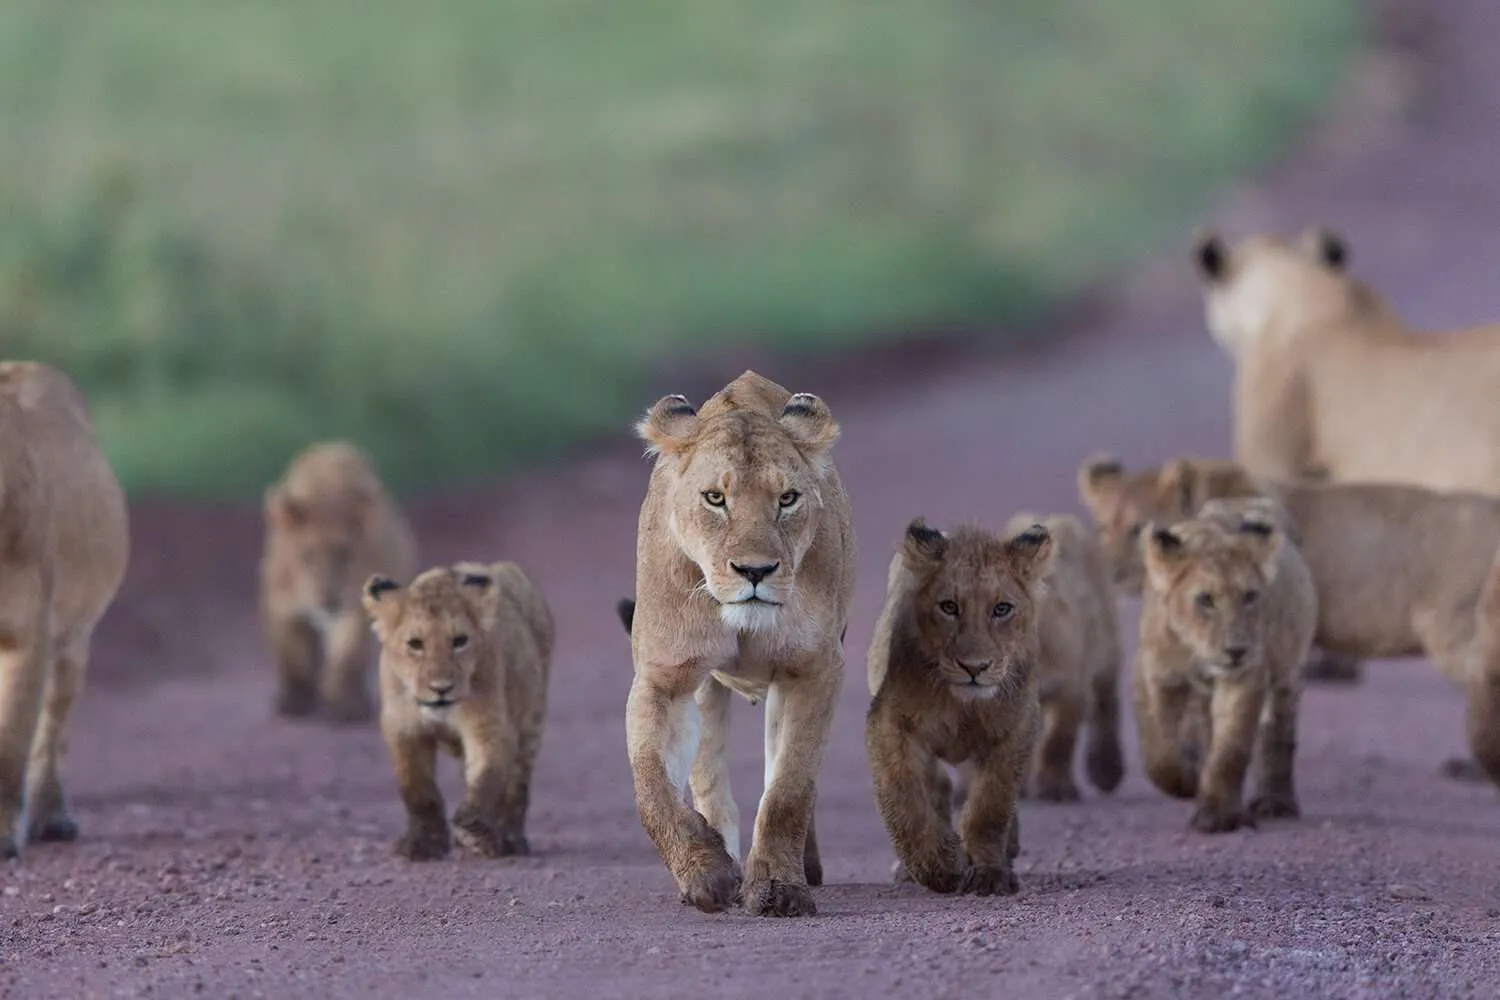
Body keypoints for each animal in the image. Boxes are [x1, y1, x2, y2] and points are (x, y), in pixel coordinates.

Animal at [261, 440, 417, 723]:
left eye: (344, 554)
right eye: (307, 556)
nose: (327, 599)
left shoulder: (354, 610)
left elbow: (346, 656)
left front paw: (343, 706)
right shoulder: (283, 606)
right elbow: (294, 656)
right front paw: (294, 701)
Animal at [361, 561, 553, 861]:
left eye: (459, 641)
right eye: (415, 643)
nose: (441, 688)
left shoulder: (491, 726)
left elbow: (487, 776)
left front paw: (473, 824)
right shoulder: (404, 730)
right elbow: (419, 791)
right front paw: (423, 843)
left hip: (531, 723)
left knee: (517, 787)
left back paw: (508, 839)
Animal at [623, 370, 855, 918]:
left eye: (788, 499)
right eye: (715, 498)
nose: (755, 571)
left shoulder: (814, 669)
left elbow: (789, 788)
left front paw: (777, 887)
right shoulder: (664, 679)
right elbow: (651, 786)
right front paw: (705, 873)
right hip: (707, 689)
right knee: (708, 774)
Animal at [865, 518, 1053, 896]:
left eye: (1002, 609)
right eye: (949, 607)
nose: (974, 667)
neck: (963, 707)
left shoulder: (1018, 727)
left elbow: (990, 806)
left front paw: (989, 872)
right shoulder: (888, 722)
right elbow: (904, 799)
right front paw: (939, 868)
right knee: (936, 789)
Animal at [1133, 499, 1317, 832]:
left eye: (1250, 596)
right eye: (1206, 599)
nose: (1236, 651)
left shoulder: (1246, 677)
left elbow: (1230, 748)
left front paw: (1218, 815)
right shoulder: (1156, 673)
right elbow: (1160, 750)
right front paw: (1186, 781)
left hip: (1288, 674)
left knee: (1278, 736)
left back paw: (1276, 803)